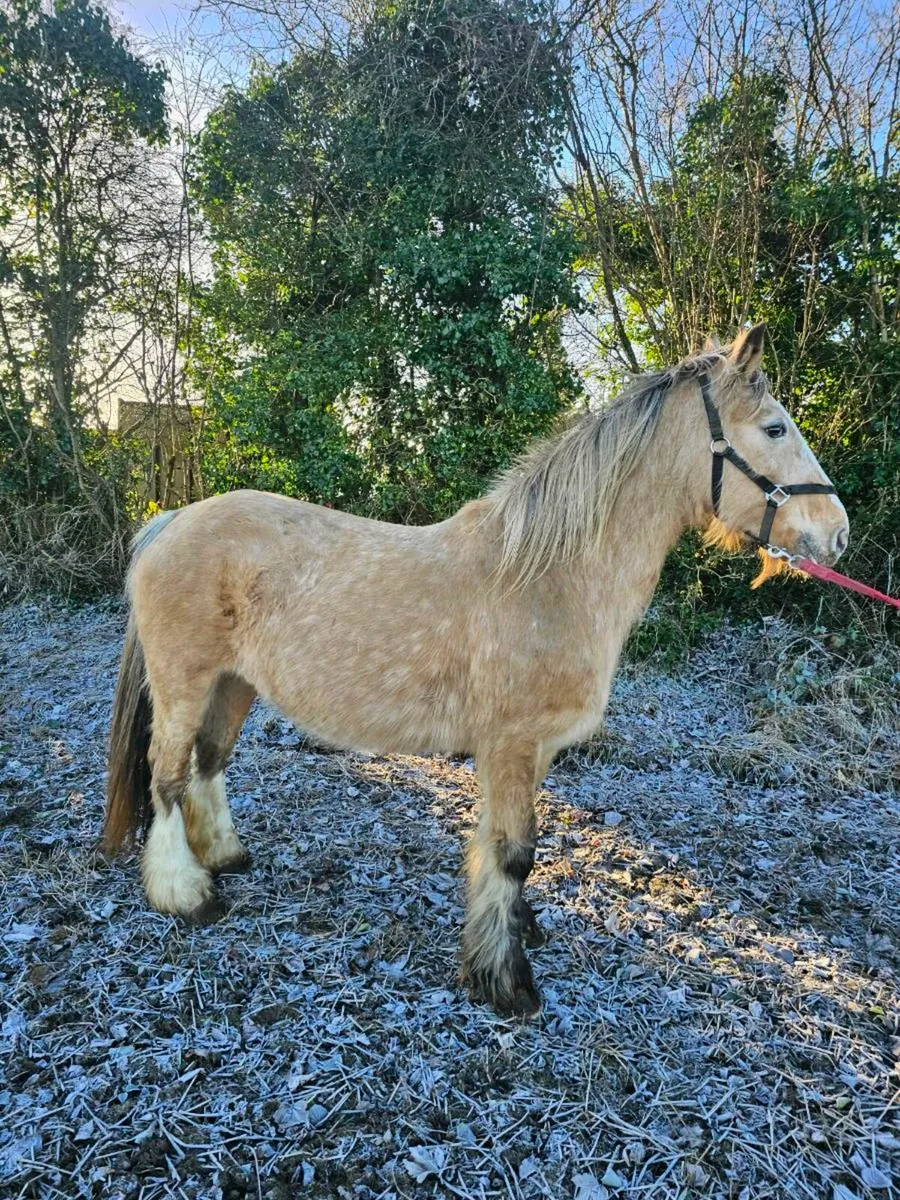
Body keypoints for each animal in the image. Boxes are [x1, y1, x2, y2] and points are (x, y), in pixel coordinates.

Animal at [103, 324, 849, 1017]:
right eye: (776, 427)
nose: (837, 533)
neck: (551, 575)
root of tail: (170, 521)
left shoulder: (529, 750)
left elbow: (502, 848)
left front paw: (514, 934)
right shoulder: (511, 744)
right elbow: (515, 853)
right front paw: (506, 981)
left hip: (233, 685)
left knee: (207, 763)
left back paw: (224, 857)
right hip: (185, 684)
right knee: (166, 775)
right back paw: (186, 893)